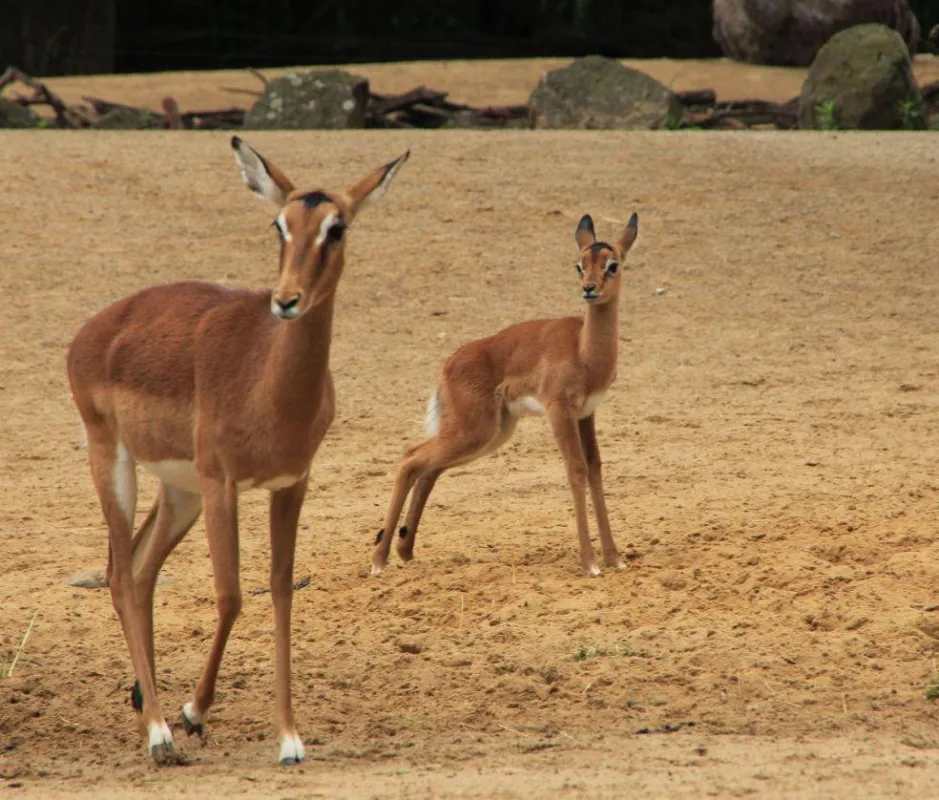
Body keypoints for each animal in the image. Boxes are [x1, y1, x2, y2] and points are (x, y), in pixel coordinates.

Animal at [66, 137, 409, 765]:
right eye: (279, 224)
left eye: (337, 227)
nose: (287, 300)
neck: (266, 380)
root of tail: (92, 331)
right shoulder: (222, 482)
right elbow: (230, 596)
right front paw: (192, 713)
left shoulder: (290, 484)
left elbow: (280, 592)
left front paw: (290, 739)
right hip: (116, 462)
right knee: (121, 575)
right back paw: (160, 735)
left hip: (179, 492)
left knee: (141, 570)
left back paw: (144, 703)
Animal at [371, 212, 639, 577]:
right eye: (579, 265)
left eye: (613, 264)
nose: (589, 289)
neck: (585, 350)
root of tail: (447, 365)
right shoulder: (559, 412)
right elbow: (576, 469)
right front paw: (590, 563)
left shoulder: (586, 413)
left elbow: (595, 468)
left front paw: (614, 557)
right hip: (474, 432)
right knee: (411, 457)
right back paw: (378, 561)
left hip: (490, 435)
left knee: (427, 469)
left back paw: (404, 550)